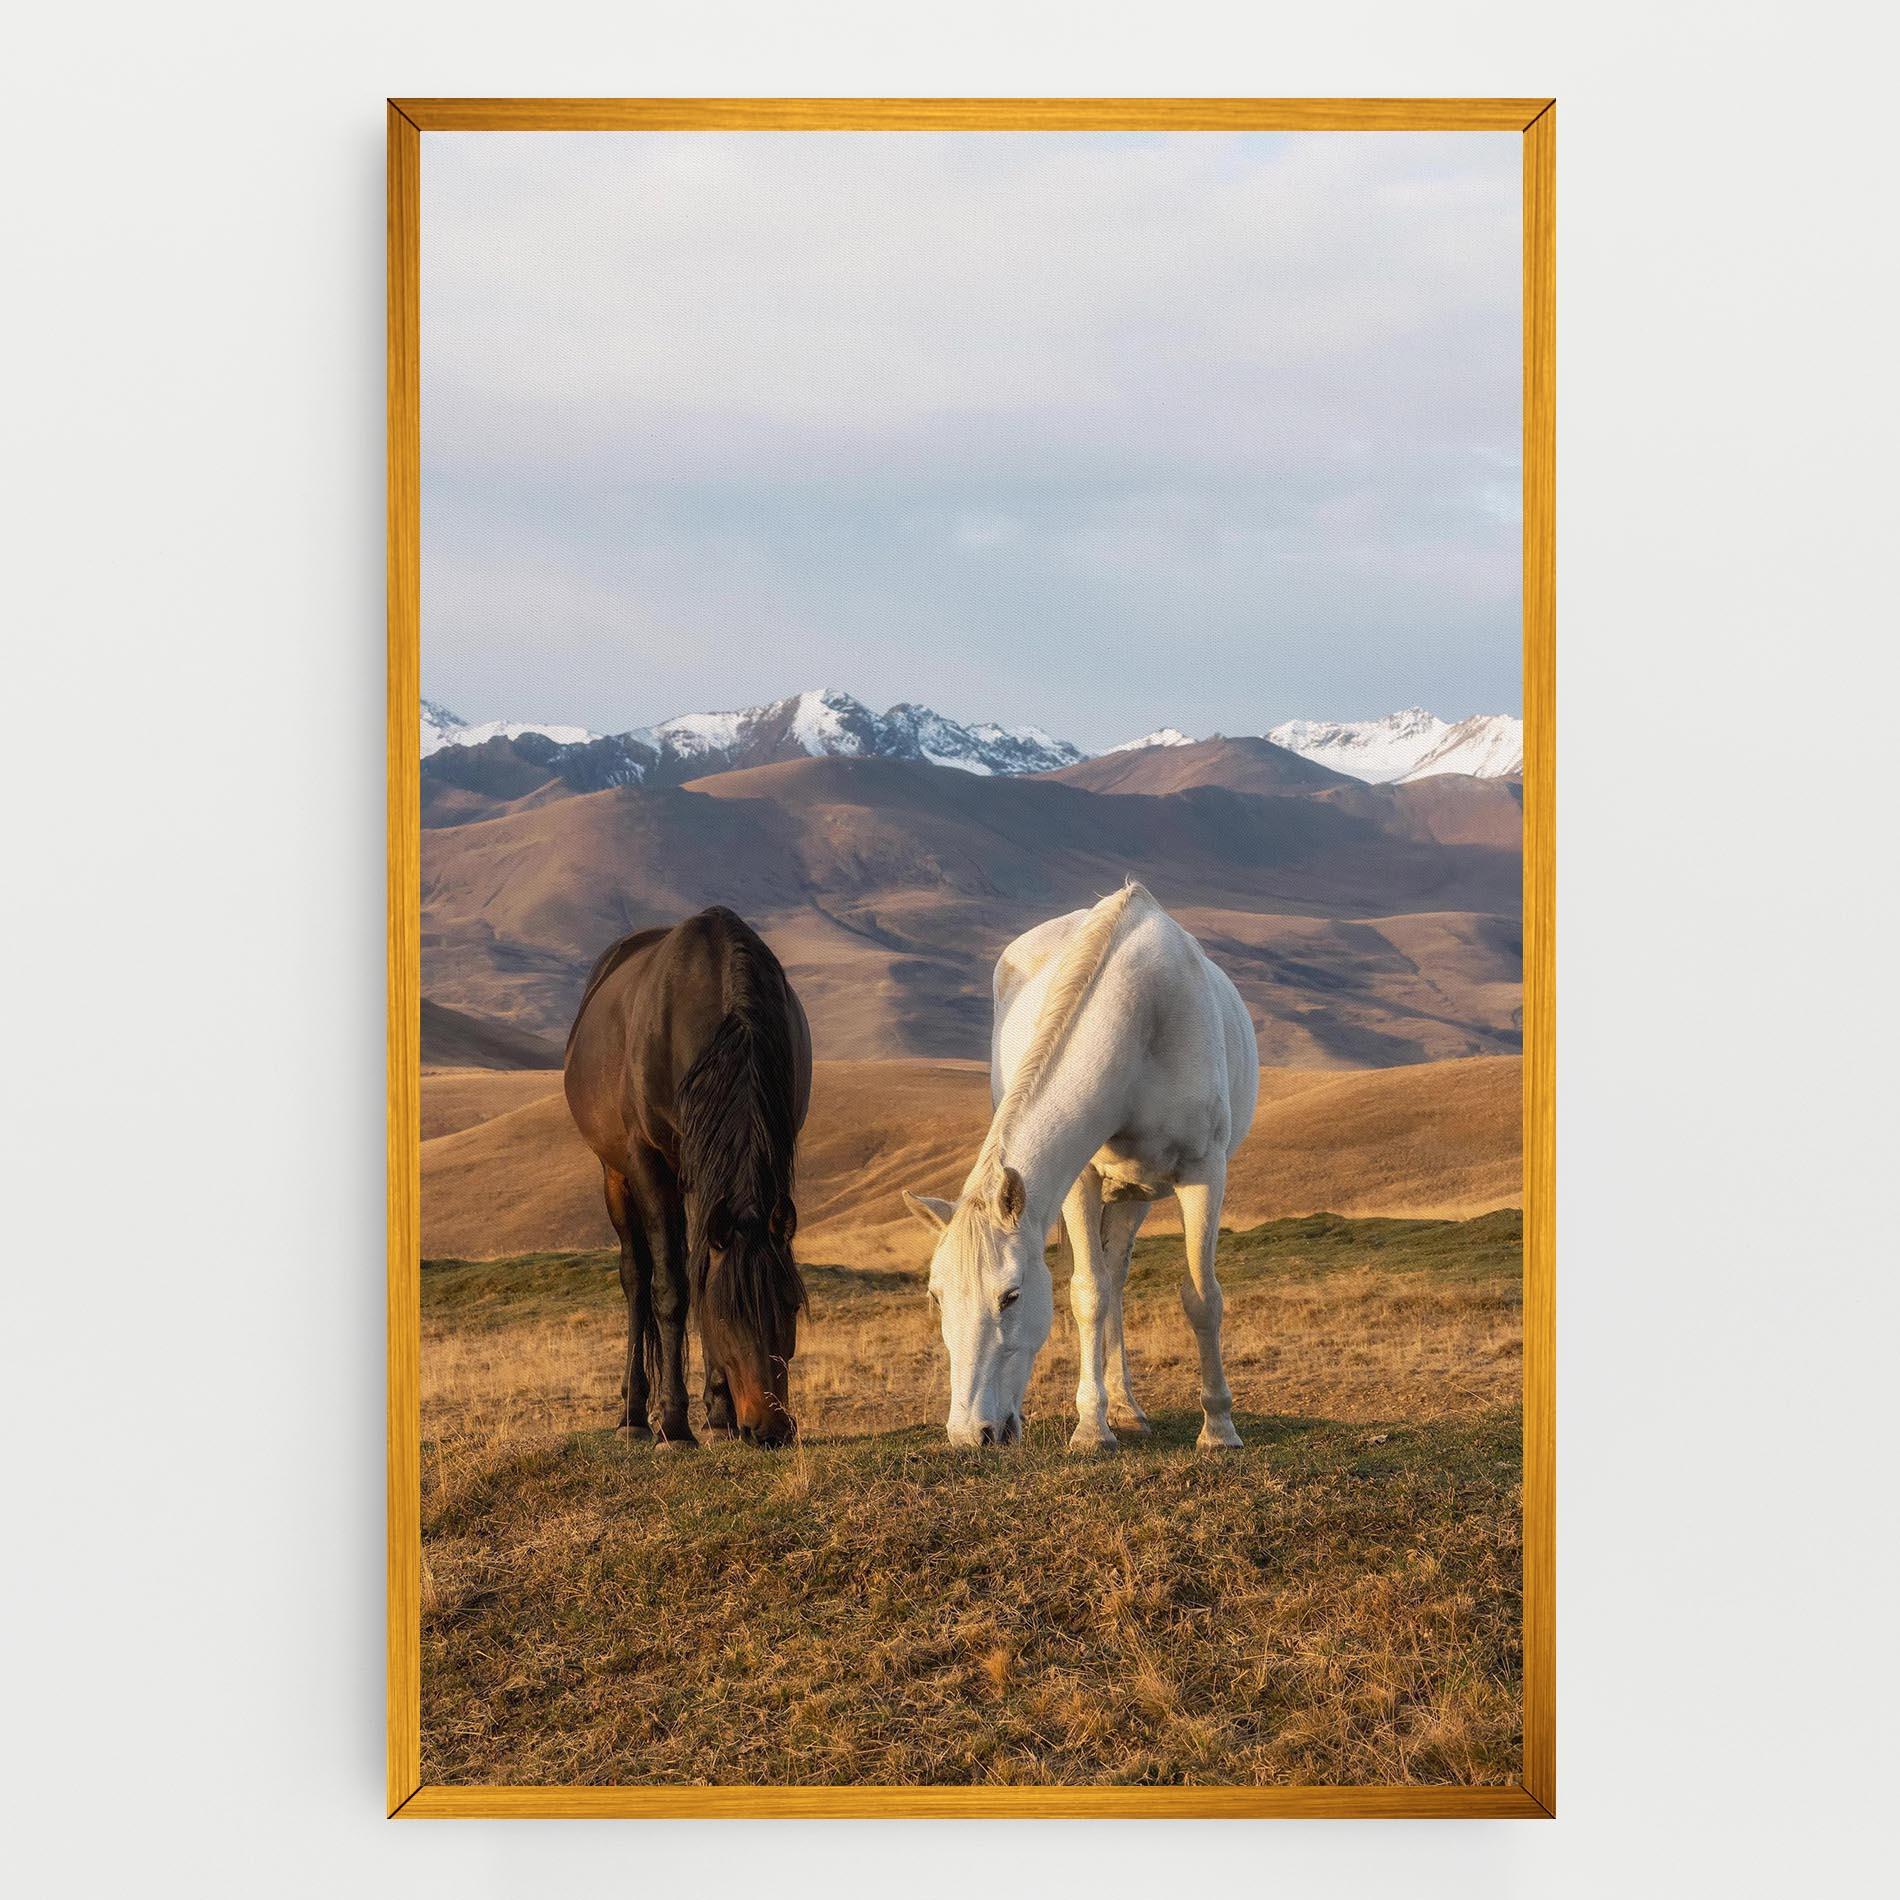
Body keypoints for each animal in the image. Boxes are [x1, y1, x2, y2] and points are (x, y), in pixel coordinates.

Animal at [564, 906, 812, 1447]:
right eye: (726, 1315)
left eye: (790, 1305)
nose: (770, 1428)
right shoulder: (648, 1162)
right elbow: (673, 1289)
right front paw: (676, 1423)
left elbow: (700, 1271)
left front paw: (719, 1415)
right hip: (616, 1175)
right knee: (637, 1279)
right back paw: (635, 1415)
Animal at [903, 881, 1258, 1453]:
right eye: (936, 1296)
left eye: (1011, 1296)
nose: (970, 1434)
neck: (1141, 1018)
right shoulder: (1081, 1181)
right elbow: (1088, 1293)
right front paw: (1092, 1427)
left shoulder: (1204, 1175)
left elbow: (1203, 1298)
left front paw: (1219, 1428)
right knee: (1106, 1284)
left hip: (1138, 1195)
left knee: (1121, 1278)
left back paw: (1133, 1409)